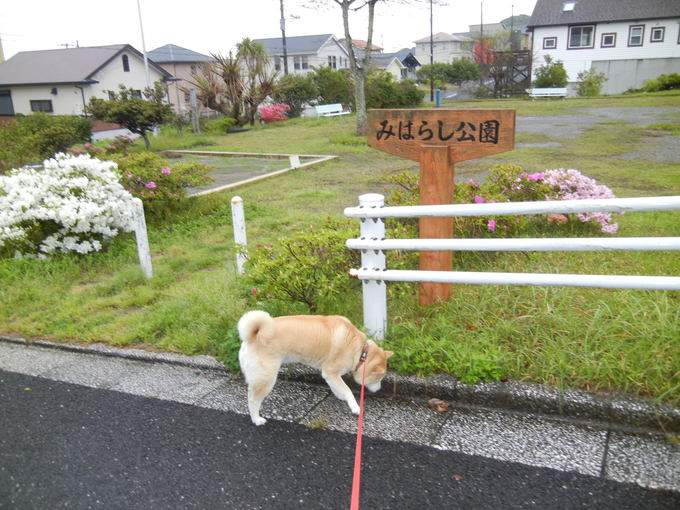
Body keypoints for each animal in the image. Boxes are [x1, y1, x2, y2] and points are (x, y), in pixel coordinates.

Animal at [238, 310, 394, 426]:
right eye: (379, 379)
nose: (379, 390)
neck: (360, 351)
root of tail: (253, 335)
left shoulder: (328, 374)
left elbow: (337, 387)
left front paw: (339, 395)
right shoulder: (331, 371)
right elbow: (348, 390)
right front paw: (355, 407)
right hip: (267, 378)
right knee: (253, 400)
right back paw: (256, 419)